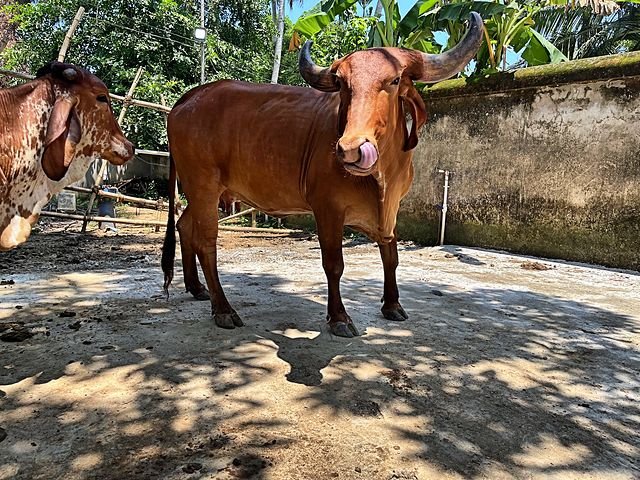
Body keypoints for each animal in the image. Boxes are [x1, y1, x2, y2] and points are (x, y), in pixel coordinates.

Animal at [162, 13, 483, 337]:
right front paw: (339, 317)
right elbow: (334, 264)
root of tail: (190, 97)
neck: (383, 177)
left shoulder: (391, 210)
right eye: (342, 84)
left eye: (394, 81)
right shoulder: (328, 208)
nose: (352, 149)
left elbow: (391, 256)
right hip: (203, 186)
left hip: (200, 192)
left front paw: (393, 305)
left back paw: (196, 288)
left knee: (184, 226)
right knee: (206, 242)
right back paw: (223, 309)